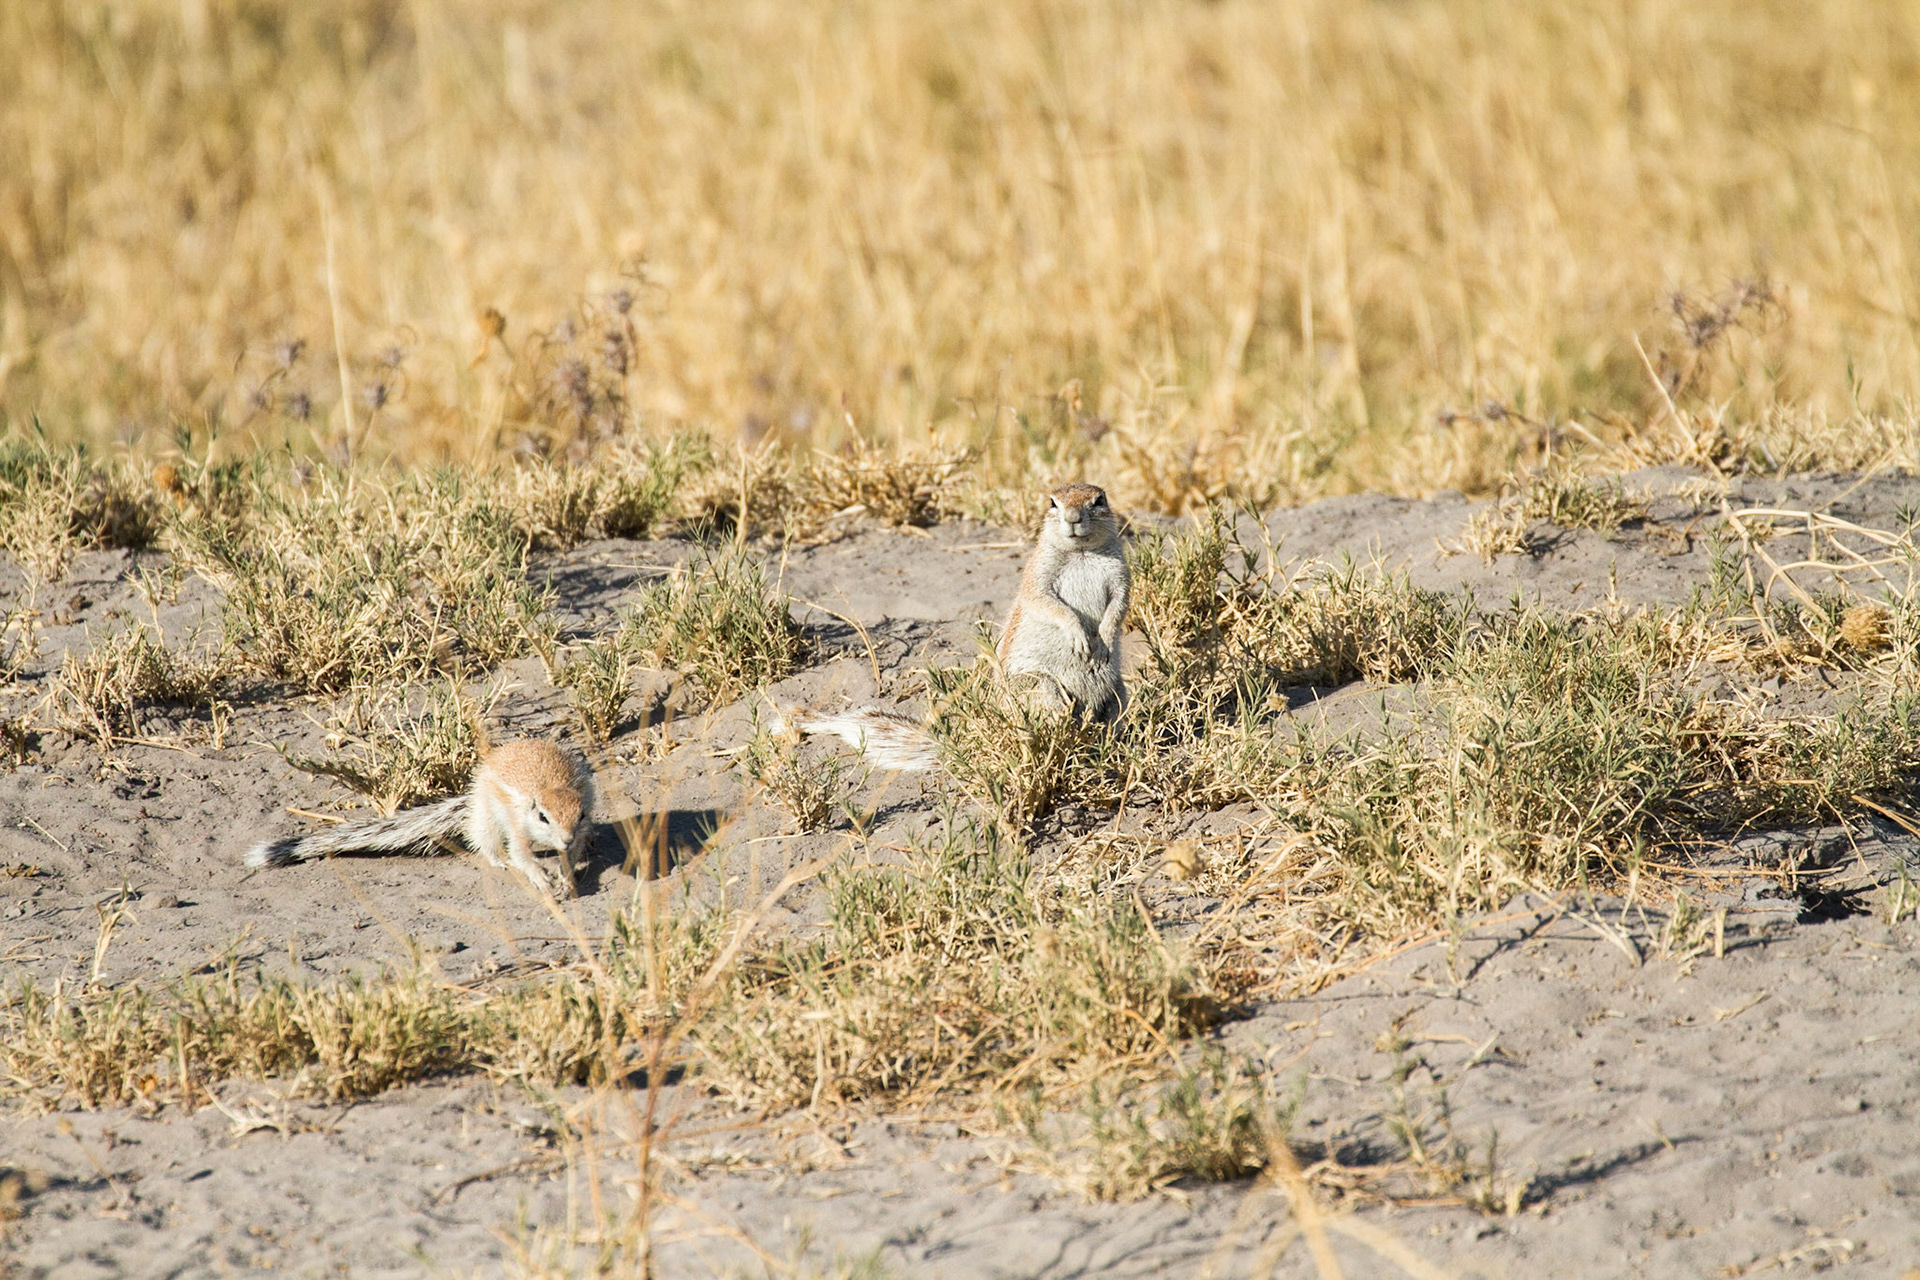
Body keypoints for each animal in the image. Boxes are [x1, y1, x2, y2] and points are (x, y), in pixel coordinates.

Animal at [242, 739, 593, 898]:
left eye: (580, 815)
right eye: (542, 817)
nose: (565, 838)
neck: (549, 787)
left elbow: (572, 855)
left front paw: (566, 877)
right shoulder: (518, 823)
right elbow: (521, 853)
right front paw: (541, 878)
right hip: (486, 811)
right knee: (486, 841)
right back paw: (500, 861)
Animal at [776, 483, 1130, 772]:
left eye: (1099, 500)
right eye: (1052, 502)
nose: (1072, 517)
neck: (1081, 551)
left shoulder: (1120, 577)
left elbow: (1119, 606)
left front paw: (1105, 638)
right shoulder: (1037, 577)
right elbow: (1049, 604)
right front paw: (1080, 636)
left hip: (1119, 694)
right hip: (1038, 687)